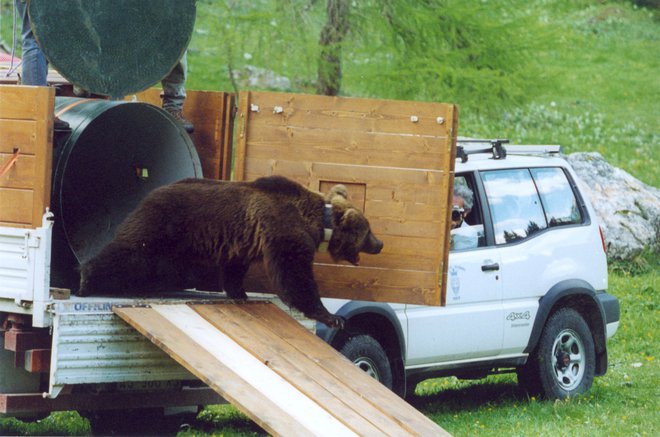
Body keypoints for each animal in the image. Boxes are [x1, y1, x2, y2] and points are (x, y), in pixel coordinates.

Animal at [78, 174, 384, 328]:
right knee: (131, 251)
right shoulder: (284, 231)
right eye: (368, 230)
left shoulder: (244, 241)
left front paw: (240, 292)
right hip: (163, 223)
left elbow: (236, 268)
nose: (379, 244)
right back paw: (86, 278)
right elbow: (294, 276)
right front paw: (331, 317)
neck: (319, 222)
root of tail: (152, 191)